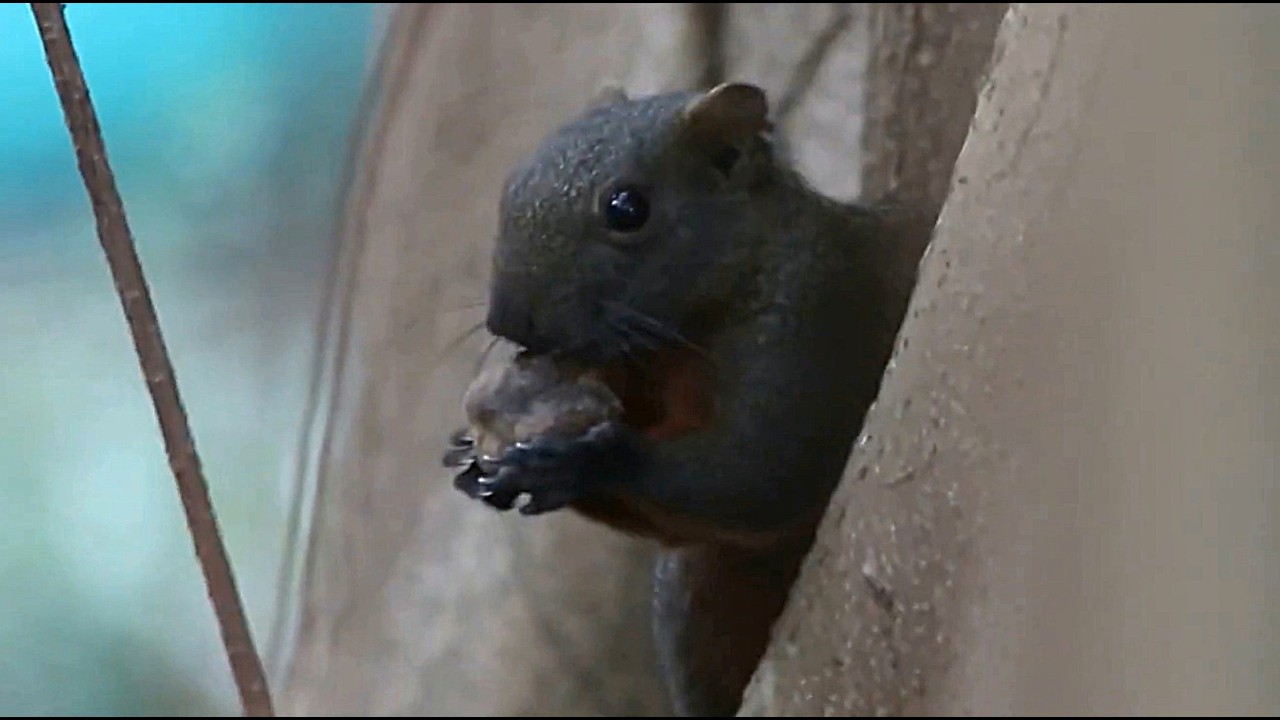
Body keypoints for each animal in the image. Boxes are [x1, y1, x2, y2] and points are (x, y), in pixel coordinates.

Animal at [443, 82, 913, 716]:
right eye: (512, 183)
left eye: (627, 208)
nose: (508, 321)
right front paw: (474, 454)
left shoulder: (814, 319)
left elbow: (761, 471)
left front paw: (579, 462)